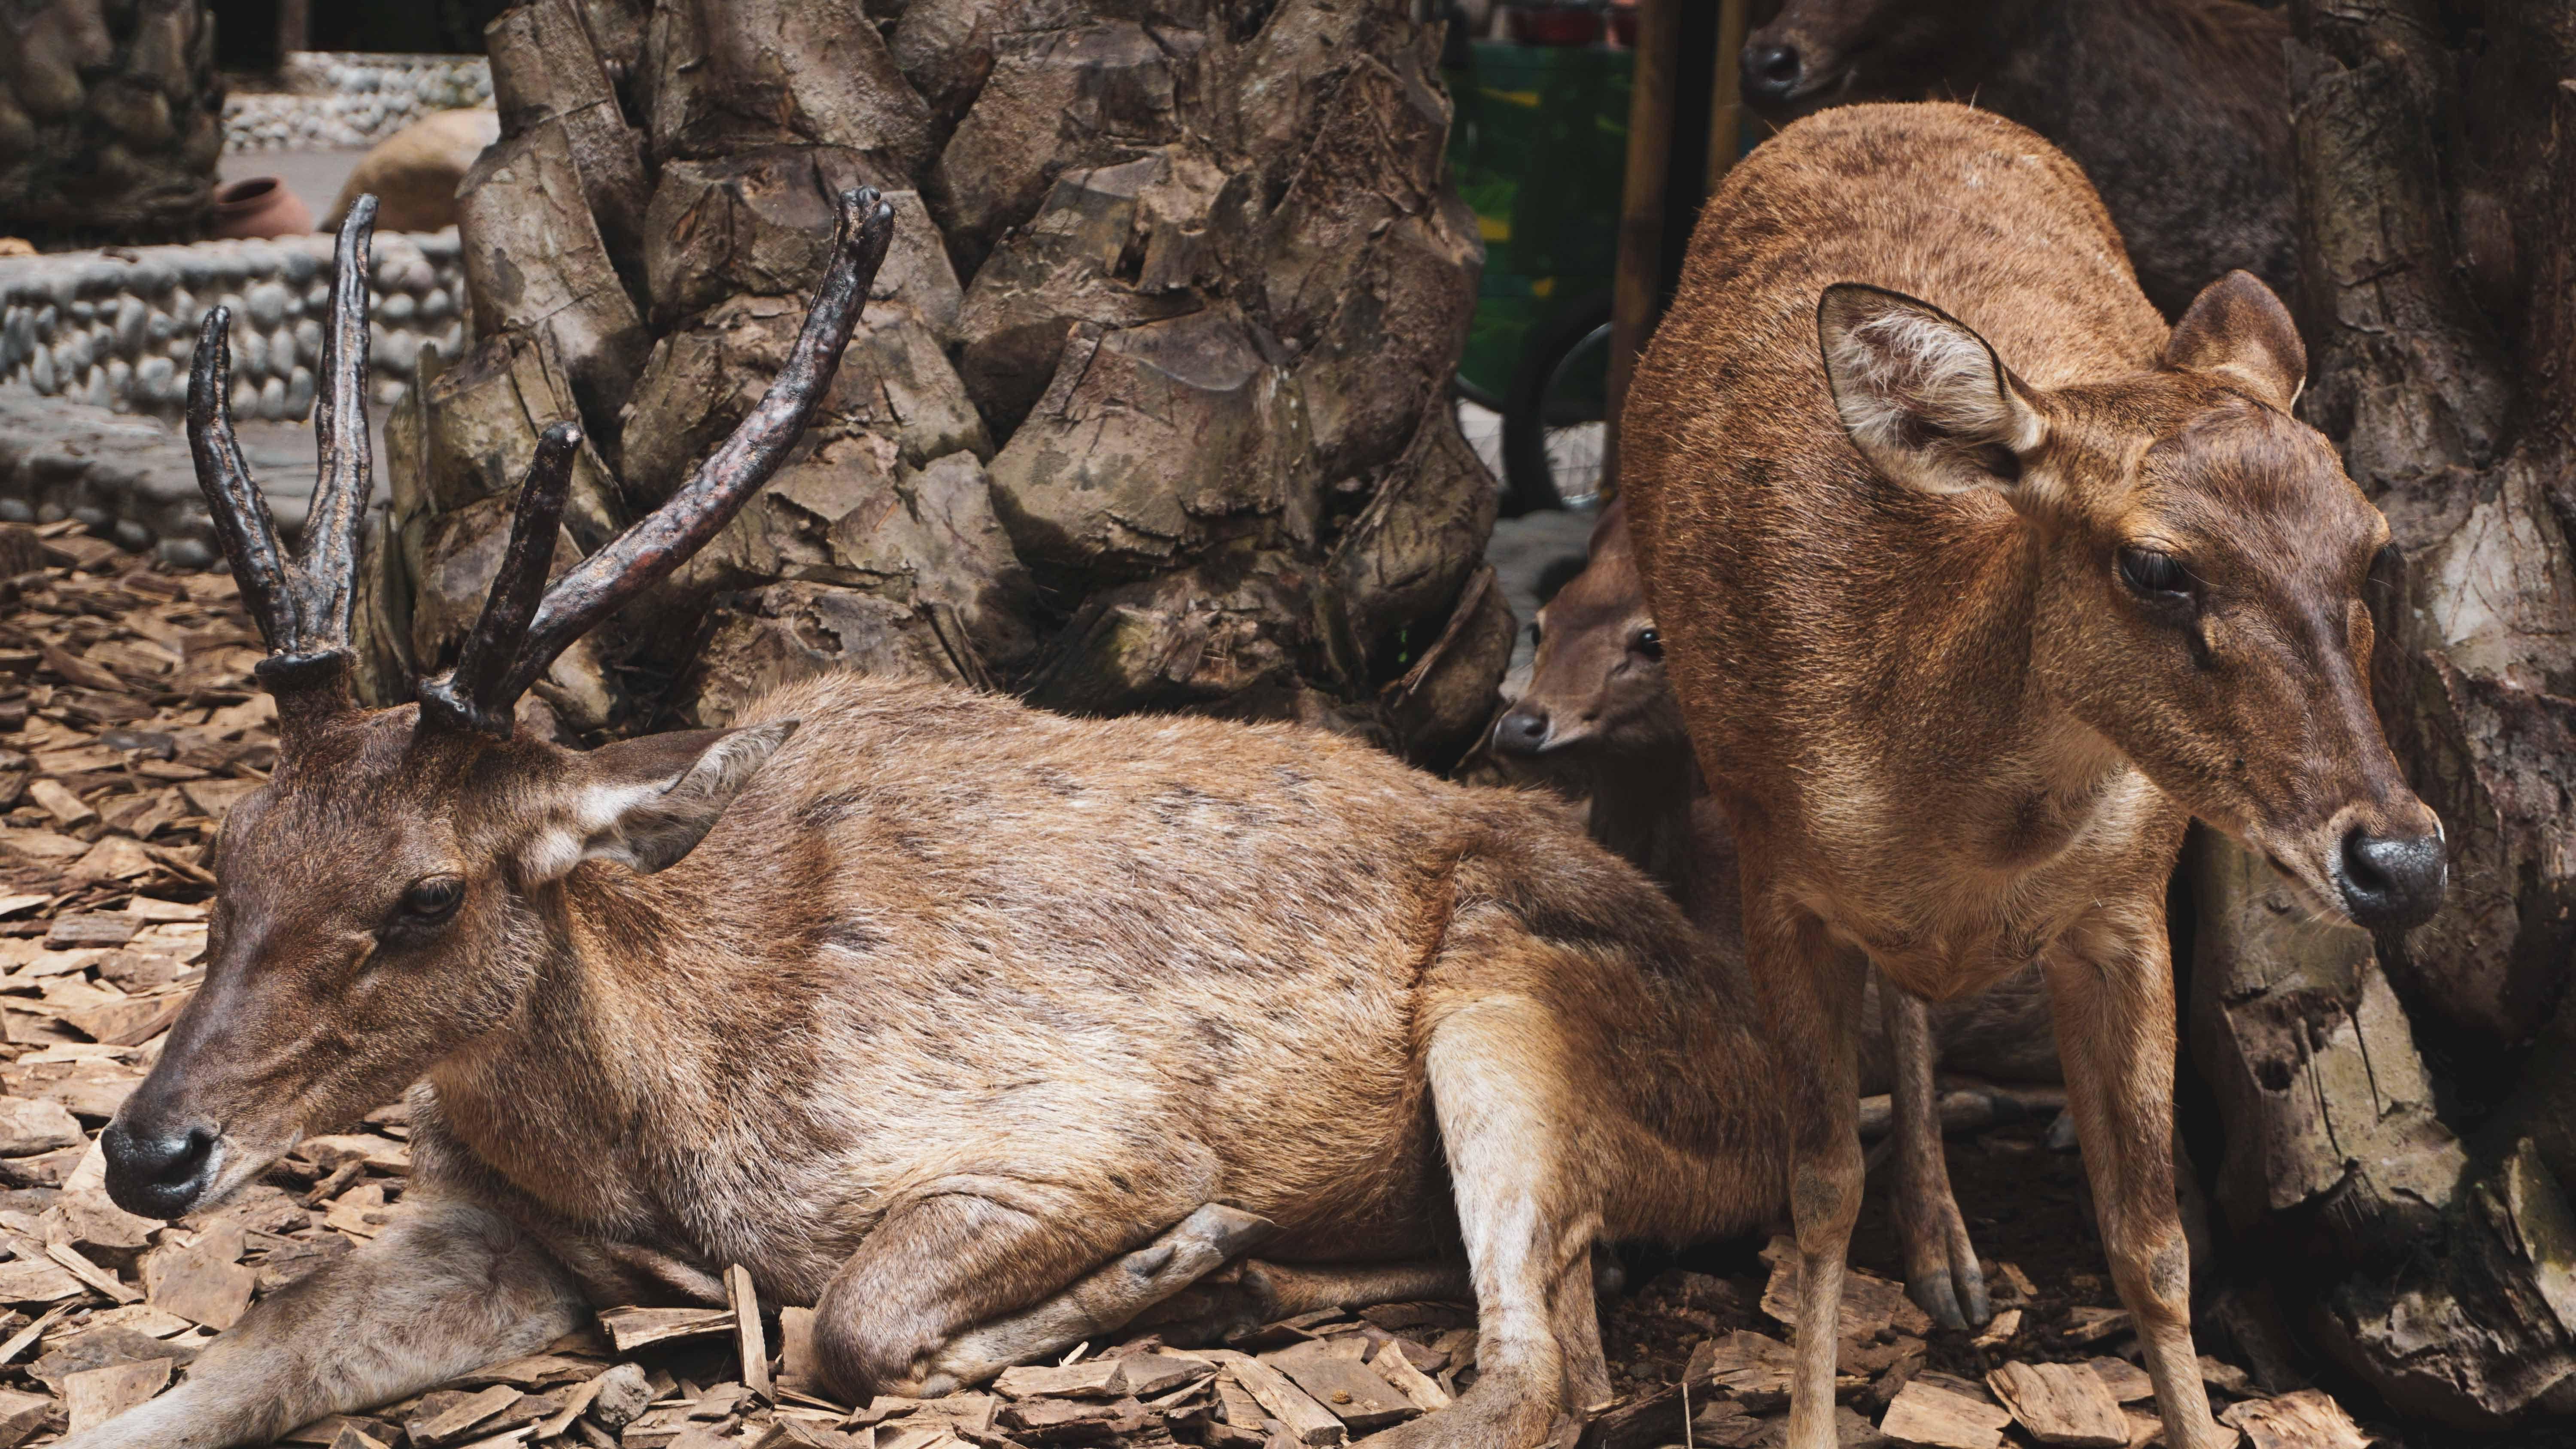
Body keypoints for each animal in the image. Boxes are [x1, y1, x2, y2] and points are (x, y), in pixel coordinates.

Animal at [70, 193, 1793, 1449]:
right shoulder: (492, 1230)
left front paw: (1156, 1259)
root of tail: (1784, 1078)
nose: (149, 1150)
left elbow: (848, 1321)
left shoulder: (1082, 1130)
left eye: (429, 893)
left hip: (1514, 1001)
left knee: (1539, 1371)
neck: (650, 1126)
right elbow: (251, 1354)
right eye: (226, 849)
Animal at [1618, 105, 2442, 1449]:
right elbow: (1818, 1192)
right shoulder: (1776, 875)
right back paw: (1945, 1257)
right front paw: (1808, 1419)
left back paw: (1954, 1257)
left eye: (2370, 546)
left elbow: (2149, 1240)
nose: (2402, 858)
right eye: (2156, 566)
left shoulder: (2123, 907)